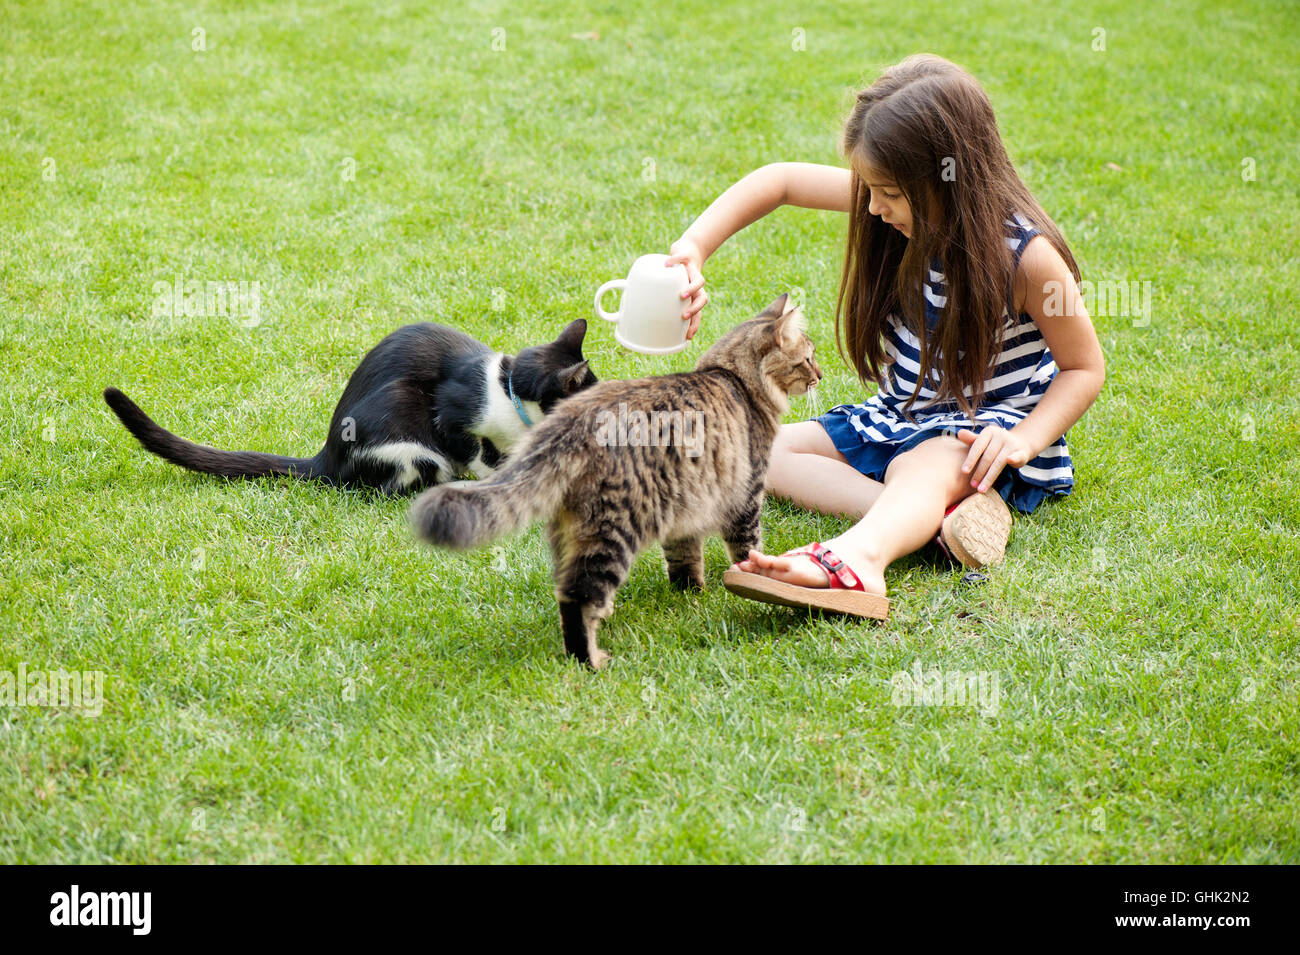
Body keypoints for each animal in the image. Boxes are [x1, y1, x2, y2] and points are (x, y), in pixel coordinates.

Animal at [104, 320, 595, 496]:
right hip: (407, 440)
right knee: (388, 487)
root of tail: (326, 456)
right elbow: (475, 453)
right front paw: (492, 475)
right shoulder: (454, 416)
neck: (506, 389)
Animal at [413, 294, 821, 670]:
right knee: (577, 597)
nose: (820, 374)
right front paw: (753, 576)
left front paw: (691, 593)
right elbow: (746, 548)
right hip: (613, 530)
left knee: (564, 588)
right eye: (808, 358)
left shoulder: (686, 508)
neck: (731, 377)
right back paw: (589, 659)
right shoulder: (747, 496)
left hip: (572, 532)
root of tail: (573, 419)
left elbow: (686, 559)